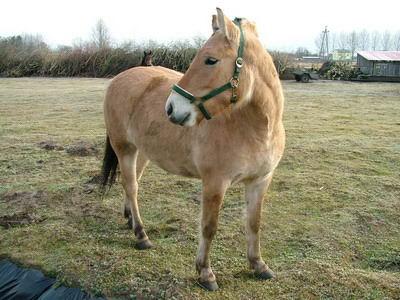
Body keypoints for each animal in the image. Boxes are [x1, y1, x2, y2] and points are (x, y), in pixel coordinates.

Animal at [102, 7, 284, 290]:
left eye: (210, 60)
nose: (171, 108)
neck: (254, 128)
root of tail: (119, 78)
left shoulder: (260, 181)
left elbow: (254, 223)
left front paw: (258, 265)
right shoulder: (214, 183)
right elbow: (209, 227)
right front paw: (205, 273)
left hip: (140, 151)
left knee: (132, 185)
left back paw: (131, 219)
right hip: (124, 148)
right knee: (131, 187)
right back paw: (141, 235)